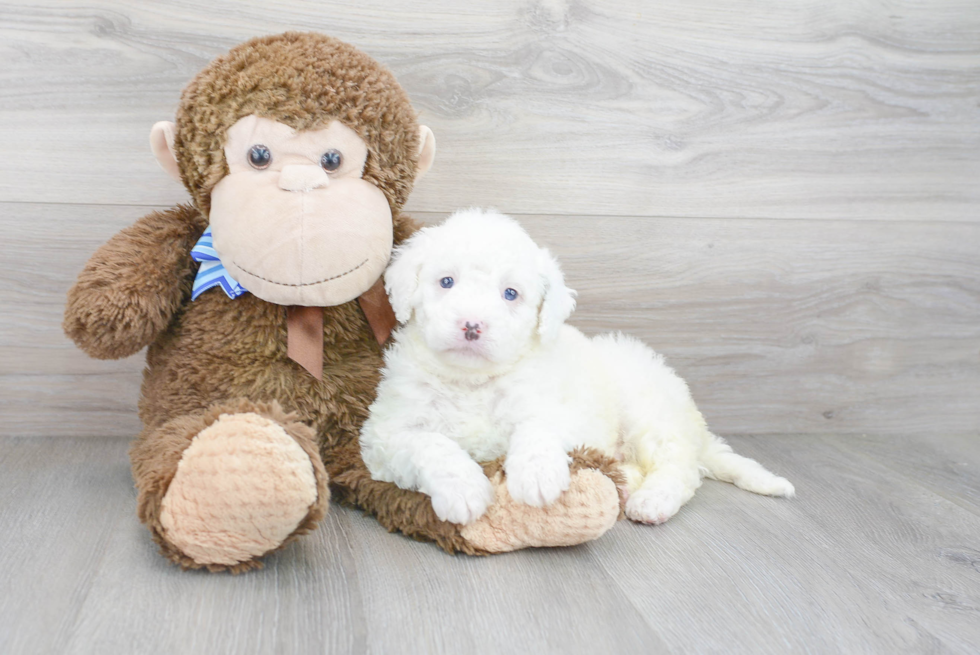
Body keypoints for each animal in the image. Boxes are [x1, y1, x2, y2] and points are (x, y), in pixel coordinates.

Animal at [360, 210, 796, 528]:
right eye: (446, 282)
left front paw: (536, 476)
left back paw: (652, 500)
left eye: (510, 294)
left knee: (682, 468)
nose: (472, 325)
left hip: (647, 411)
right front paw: (464, 490)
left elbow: (538, 428)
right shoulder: (385, 434)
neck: (473, 382)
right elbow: (430, 444)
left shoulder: (559, 409)